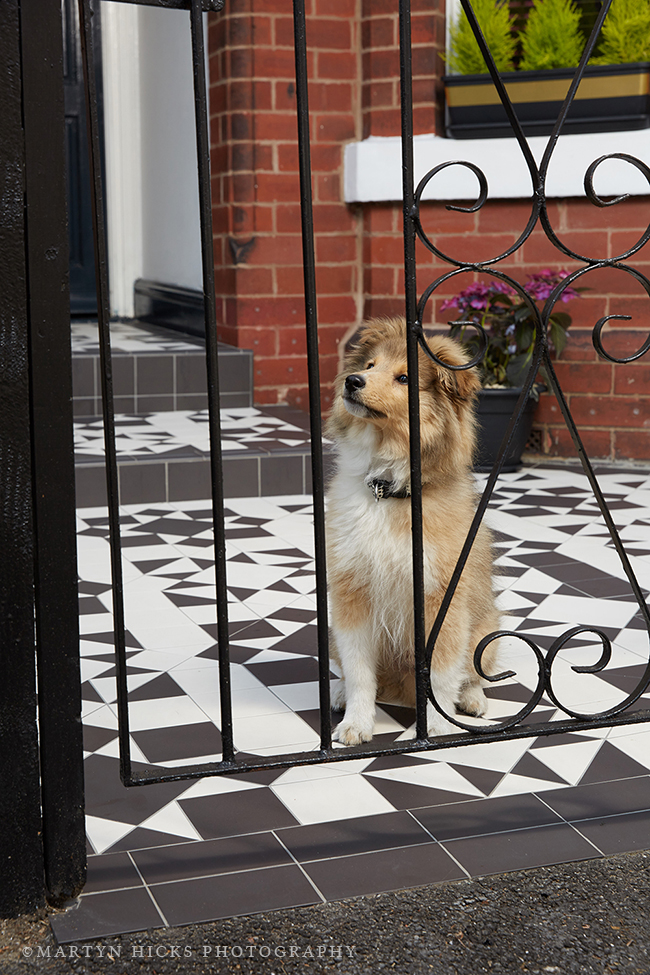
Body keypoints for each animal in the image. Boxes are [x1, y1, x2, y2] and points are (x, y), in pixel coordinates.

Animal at [326, 316, 498, 744]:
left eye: (405, 378)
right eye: (370, 365)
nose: (352, 381)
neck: (389, 492)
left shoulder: (443, 600)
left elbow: (441, 672)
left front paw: (436, 726)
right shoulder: (352, 595)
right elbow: (359, 672)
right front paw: (356, 724)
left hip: (486, 631)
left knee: (471, 673)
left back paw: (473, 699)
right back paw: (337, 693)